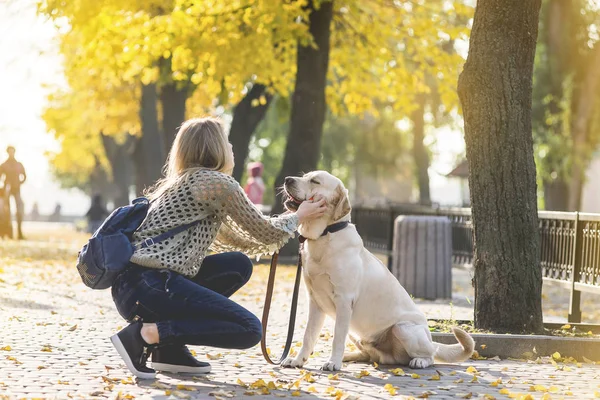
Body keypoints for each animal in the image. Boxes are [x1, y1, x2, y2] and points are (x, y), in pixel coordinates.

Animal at [282, 170, 474, 370]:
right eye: (305, 176)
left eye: (315, 181)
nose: (287, 179)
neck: (325, 234)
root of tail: (430, 339)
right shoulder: (315, 302)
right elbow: (308, 335)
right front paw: (297, 360)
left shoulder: (344, 301)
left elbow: (337, 338)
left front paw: (333, 363)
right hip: (356, 333)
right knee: (371, 355)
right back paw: (350, 356)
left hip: (402, 328)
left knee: (431, 354)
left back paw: (419, 361)